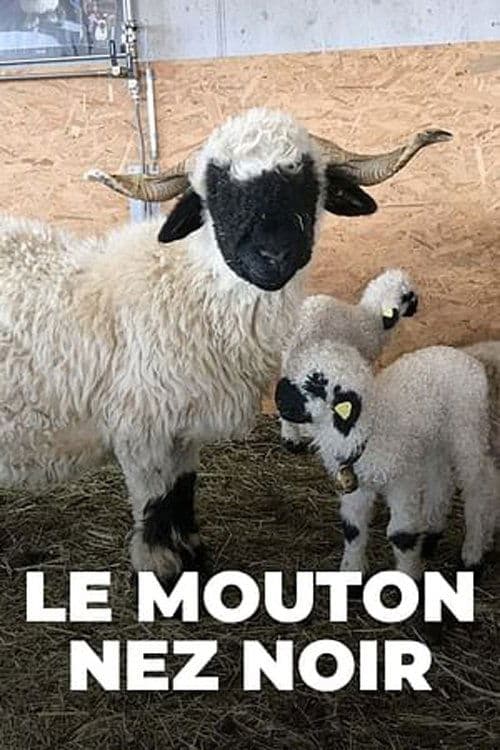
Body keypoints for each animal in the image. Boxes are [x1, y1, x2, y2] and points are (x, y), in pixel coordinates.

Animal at [275, 341, 499, 580]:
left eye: (316, 383)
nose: (277, 395)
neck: (371, 426)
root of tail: (465, 355)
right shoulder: (357, 484)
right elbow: (353, 529)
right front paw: (351, 572)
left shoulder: (402, 481)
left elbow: (401, 535)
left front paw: (409, 576)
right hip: (433, 441)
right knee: (441, 481)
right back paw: (431, 535)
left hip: (468, 432)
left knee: (478, 490)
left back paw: (474, 552)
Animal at [280, 268, 419, 453]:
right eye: (407, 296)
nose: (416, 308)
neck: (371, 319)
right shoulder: (366, 356)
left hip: (290, 368)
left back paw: (290, 438)